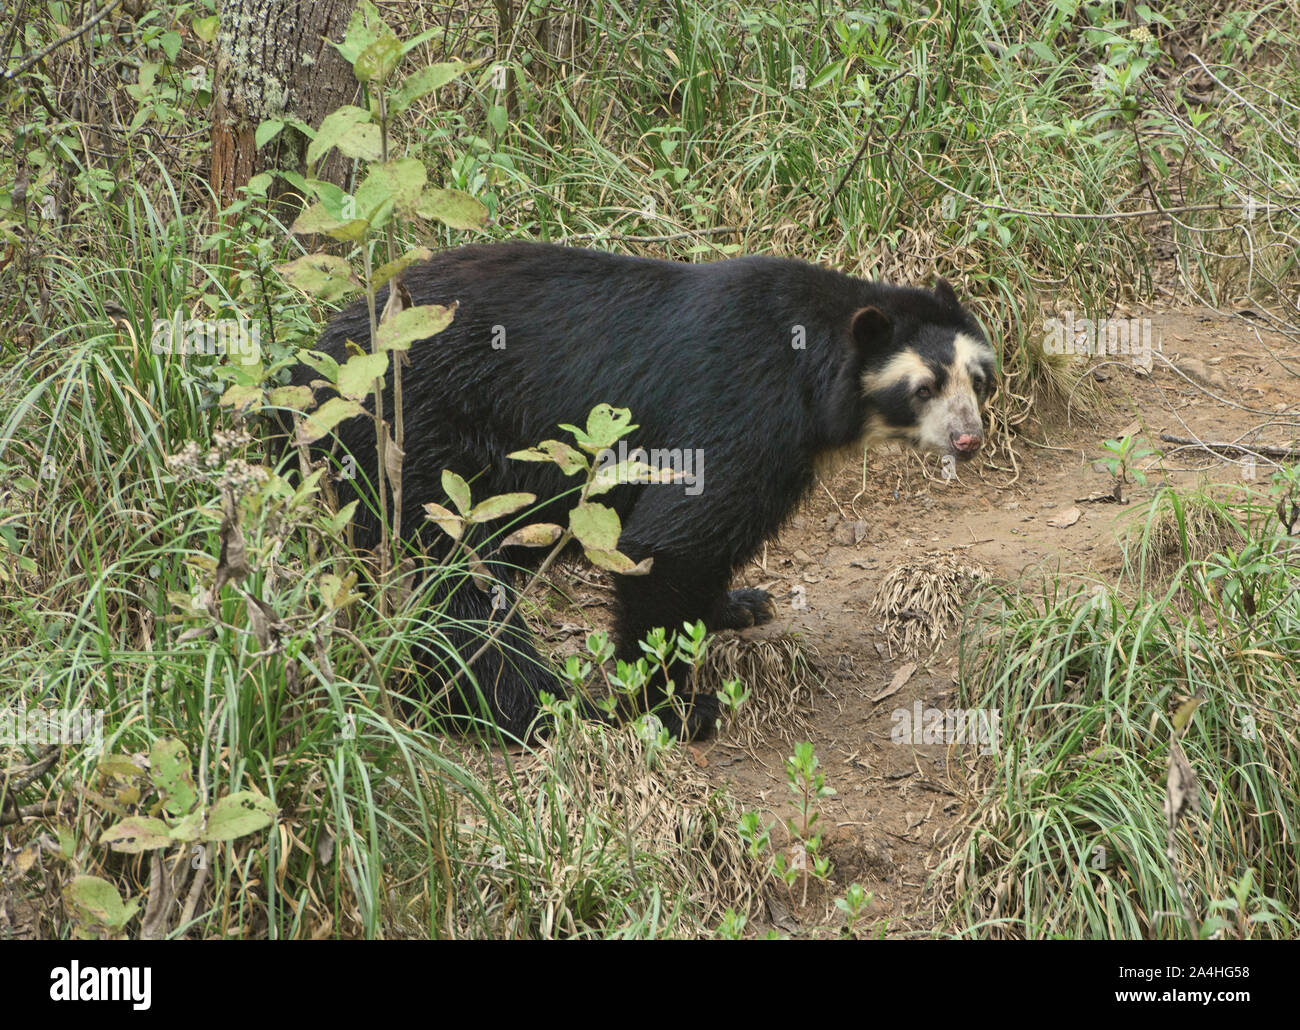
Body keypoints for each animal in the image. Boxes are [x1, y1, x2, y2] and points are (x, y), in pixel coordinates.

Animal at [292, 241, 993, 738]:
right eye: (924, 387)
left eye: (980, 379)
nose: (969, 440)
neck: (811, 374)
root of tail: (309, 368)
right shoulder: (739, 404)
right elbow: (670, 541)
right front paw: (677, 707)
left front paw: (738, 604)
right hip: (417, 441)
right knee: (450, 582)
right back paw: (531, 707)